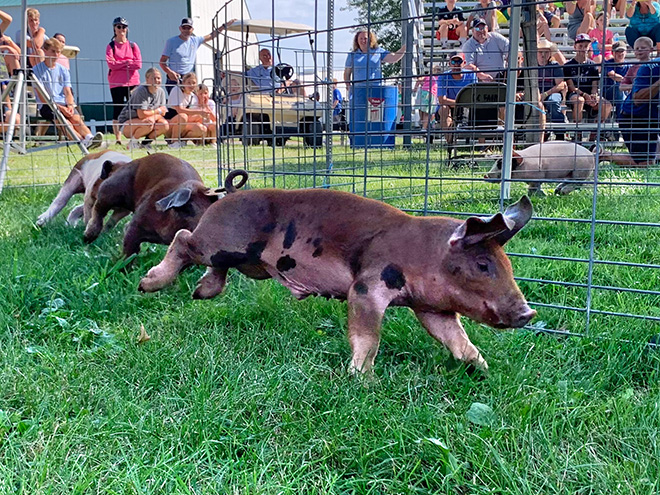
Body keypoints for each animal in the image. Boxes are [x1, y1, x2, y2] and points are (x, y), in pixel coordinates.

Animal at [83, 153, 247, 257]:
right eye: (189, 209)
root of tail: (119, 166)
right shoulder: (136, 225)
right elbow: (129, 249)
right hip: (110, 190)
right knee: (98, 209)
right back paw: (88, 237)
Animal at [138, 189, 536, 374]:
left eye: (507, 264)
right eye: (482, 264)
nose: (528, 313)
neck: (424, 255)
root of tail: (219, 200)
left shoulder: (431, 308)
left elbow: (458, 339)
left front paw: (483, 370)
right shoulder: (367, 286)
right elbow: (368, 338)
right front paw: (364, 379)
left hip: (239, 259)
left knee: (208, 266)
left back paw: (201, 293)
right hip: (221, 244)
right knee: (184, 239)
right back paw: (146, 285)